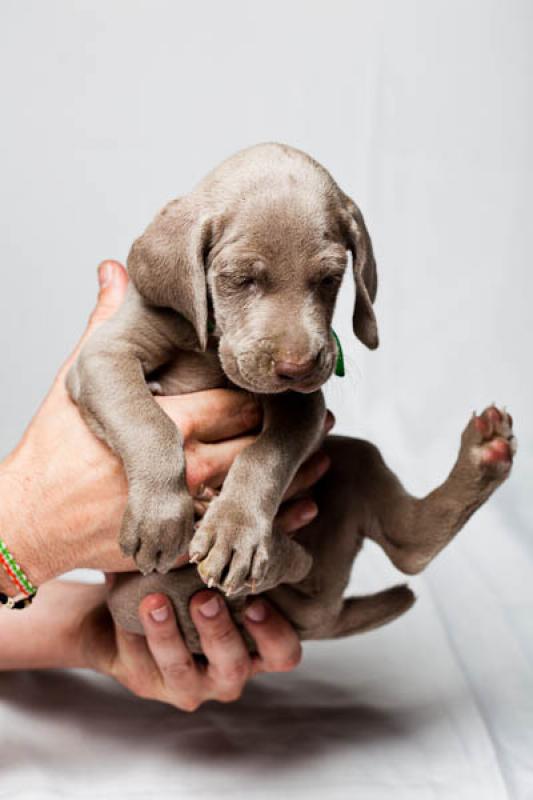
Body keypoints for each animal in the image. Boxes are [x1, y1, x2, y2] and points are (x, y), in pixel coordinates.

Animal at [66, 142, 516, 648]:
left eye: (329, 280)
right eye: (241, 278)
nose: (297, 367)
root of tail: (321, 616)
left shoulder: (305, 404)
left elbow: (266, 457)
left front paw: (236, 531)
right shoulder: (103, 356)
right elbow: (149, 420)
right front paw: (161, 517)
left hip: (352, 458)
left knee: (399, 548)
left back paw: (483, 454)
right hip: (143, 596)